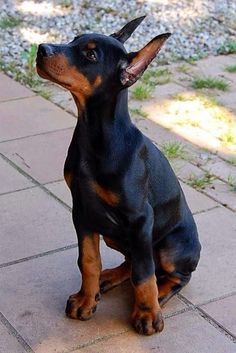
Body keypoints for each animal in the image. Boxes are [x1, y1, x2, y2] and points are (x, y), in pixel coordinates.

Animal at [36, 16, 201, 334]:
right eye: (74, 39)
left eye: (91, 54)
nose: (40, 49)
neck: (96, 136)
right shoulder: (82, 210)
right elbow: (89, 260)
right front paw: (86, 301)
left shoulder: (141, 217)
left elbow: (144, 274)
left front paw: (148, 314)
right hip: (114, 234)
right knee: (133, 260)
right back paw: (109, 277)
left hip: (173, 246)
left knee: (170, 273)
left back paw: (159, 297)